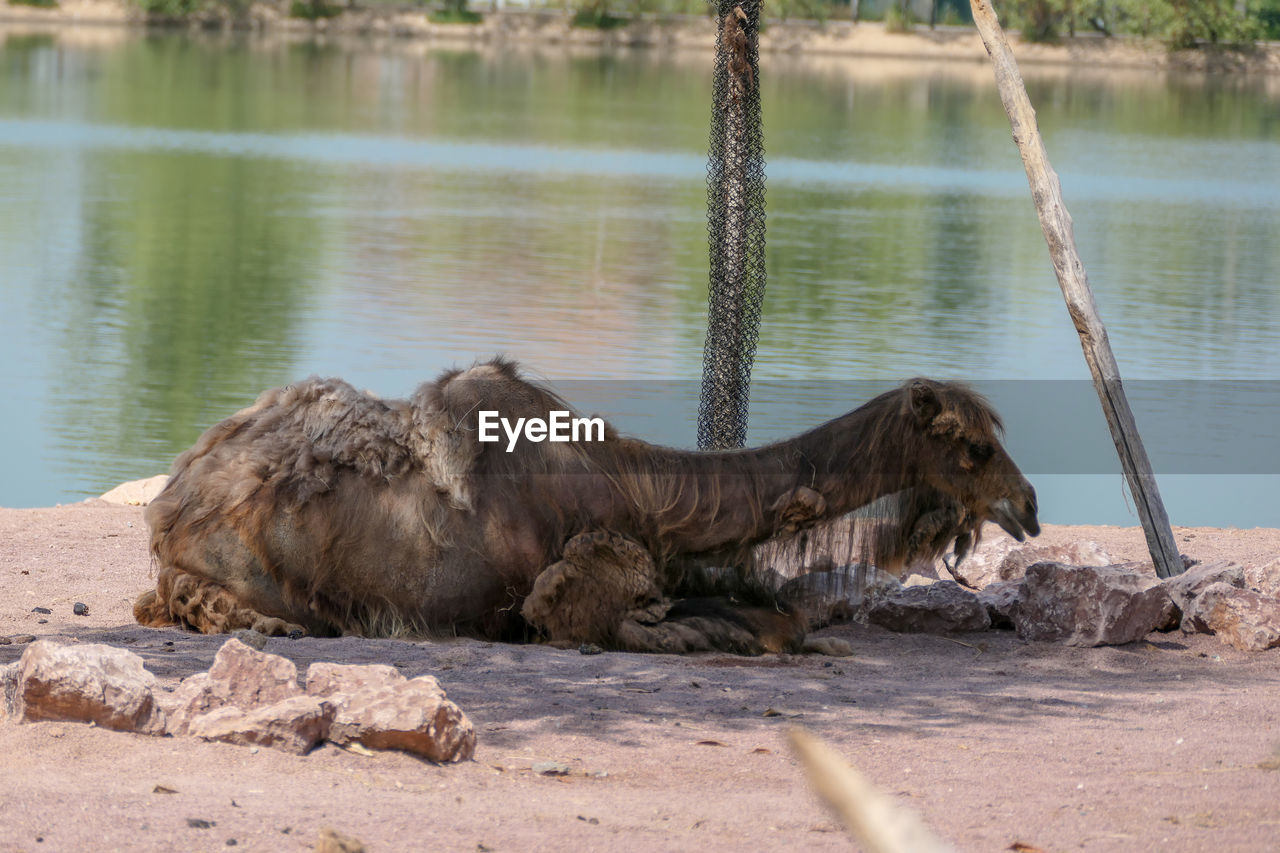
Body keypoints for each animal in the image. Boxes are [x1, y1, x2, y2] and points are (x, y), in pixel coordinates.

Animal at [137, 356, 1039, 653]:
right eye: (973, 446)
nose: (1027, 503)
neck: (649, 494)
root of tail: (170, 502)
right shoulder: (575, 592)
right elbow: (739, 623)